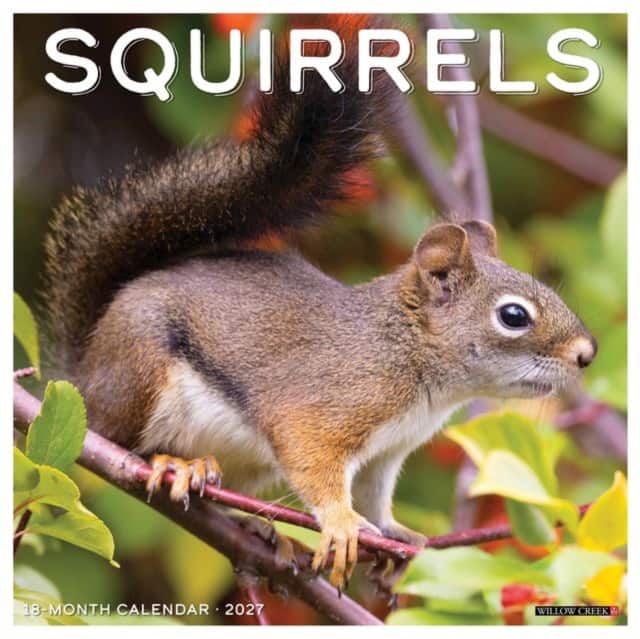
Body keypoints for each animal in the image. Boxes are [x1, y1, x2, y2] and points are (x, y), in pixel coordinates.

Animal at [42, 17, 597, 590]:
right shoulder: (324, 410)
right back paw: (177, 465)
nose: (586, 354)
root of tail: (82, 370)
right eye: (513, 316)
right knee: (123, 439)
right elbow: (316, 464)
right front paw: (341, 523)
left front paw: (400, 537)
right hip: (140, 372)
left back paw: (256, 527)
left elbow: (375, 499)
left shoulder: (385, 454)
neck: (411, 358)